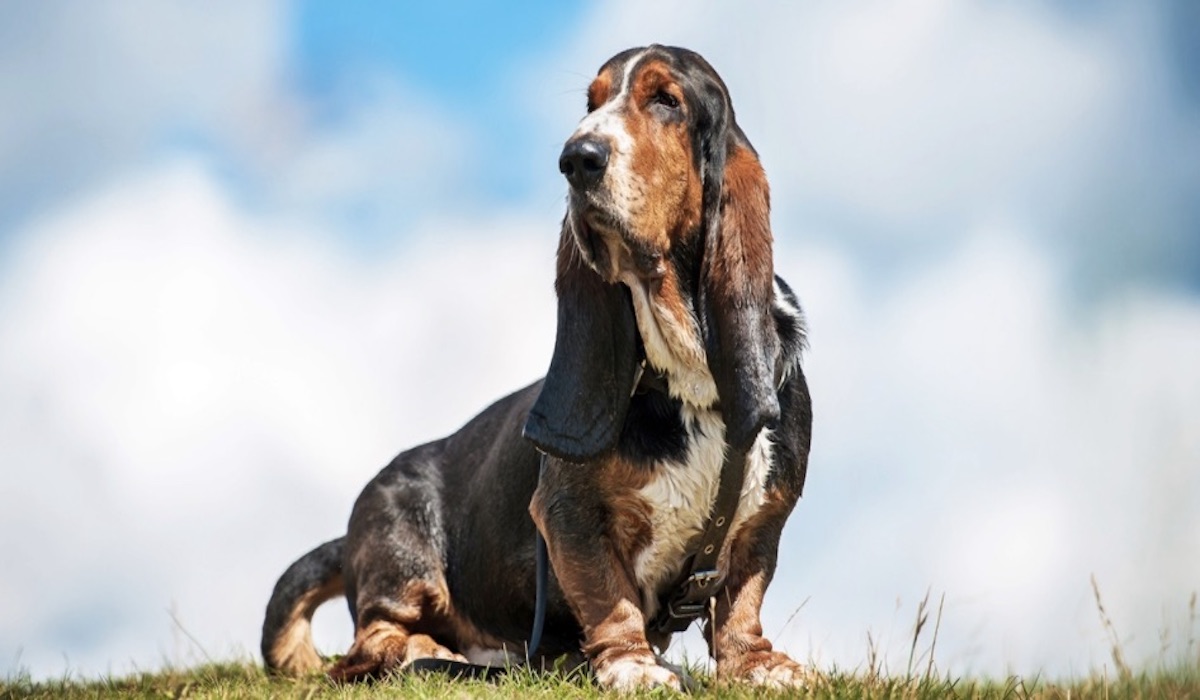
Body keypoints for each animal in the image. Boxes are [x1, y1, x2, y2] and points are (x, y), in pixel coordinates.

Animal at [262, 46, 816, 691]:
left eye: (665, 101)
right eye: (590, 103)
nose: (577, 158)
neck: (683, 375)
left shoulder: (766, 518)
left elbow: (741, 598)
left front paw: (759, 665)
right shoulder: (568, 514)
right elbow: (608, 594)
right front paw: (633, 666)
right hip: (401, 554)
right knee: (375, 639)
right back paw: (436, 654)